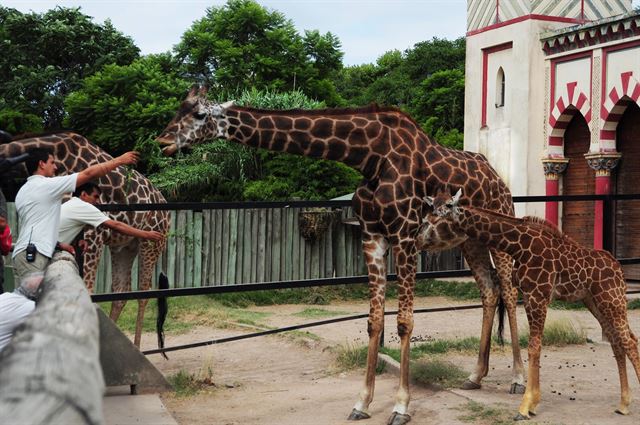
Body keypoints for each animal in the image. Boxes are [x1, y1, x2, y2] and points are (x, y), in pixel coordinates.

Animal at [0, 132, 169, 348]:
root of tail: (166, 207)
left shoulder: (93, 236)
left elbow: (88, 292)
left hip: (151, 244)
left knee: (143, 293)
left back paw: (138, 347)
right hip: (125, 246)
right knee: (121, 292)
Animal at [156, 87, 524, 424]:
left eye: (199, 115)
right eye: (178, 109)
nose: (162, 141)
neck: (370, 156)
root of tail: (498, 179)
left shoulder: (405, 236)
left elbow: (404, 322)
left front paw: (401, 407)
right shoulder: (372, 237)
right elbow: (374, 321)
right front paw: (362, 403)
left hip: (503, 234)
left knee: (508, 291)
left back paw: (518, 380)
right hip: (470, 242)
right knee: (489, 291)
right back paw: (475, 376)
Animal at [420, 190, 640, 420]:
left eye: (446, 209)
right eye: (431, 209)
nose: (419, 237)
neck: (518, 246)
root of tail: (619, 268)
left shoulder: (538, 295)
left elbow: (534, 347)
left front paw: (525, 407)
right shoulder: (528, 296)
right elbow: (535, 346)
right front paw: (532, 403)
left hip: (612, 299)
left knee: (629, 341)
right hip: (595, 301)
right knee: (619, 341)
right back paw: (623, 404)